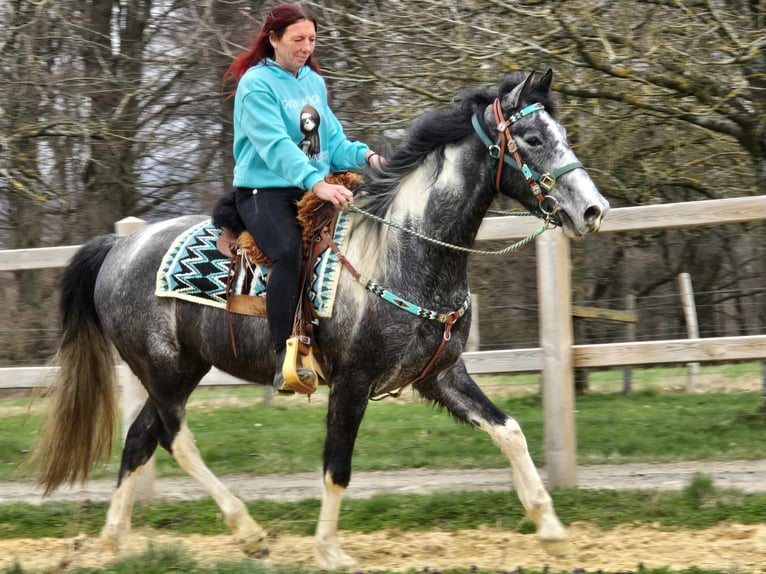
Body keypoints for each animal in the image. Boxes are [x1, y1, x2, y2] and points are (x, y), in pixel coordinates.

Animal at [29, 69, 609, 570]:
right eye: (532, 138)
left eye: (560, 133)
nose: (593, 210)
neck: (402, 249)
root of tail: (118, 246)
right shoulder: (352, 382)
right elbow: (337, 466)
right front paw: (330, 551)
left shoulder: (441, 375)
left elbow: (509, 431)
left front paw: (552, 530)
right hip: (164, 370)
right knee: (175, 439)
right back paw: (248, 532)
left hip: (182, 369)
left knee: (140, 440)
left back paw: (114, 540)